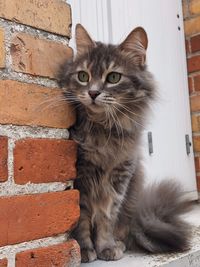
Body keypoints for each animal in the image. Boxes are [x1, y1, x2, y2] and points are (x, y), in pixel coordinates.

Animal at [58, 24, 192, 262]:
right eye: (83, 76)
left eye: (113, 77)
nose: (93, 92)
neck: (104, 130)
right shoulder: (81, 177)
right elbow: (82, 218)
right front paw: (84, 250)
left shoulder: (120, 177)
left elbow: (107, 217)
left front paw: (106, 247)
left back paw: (119, 243)